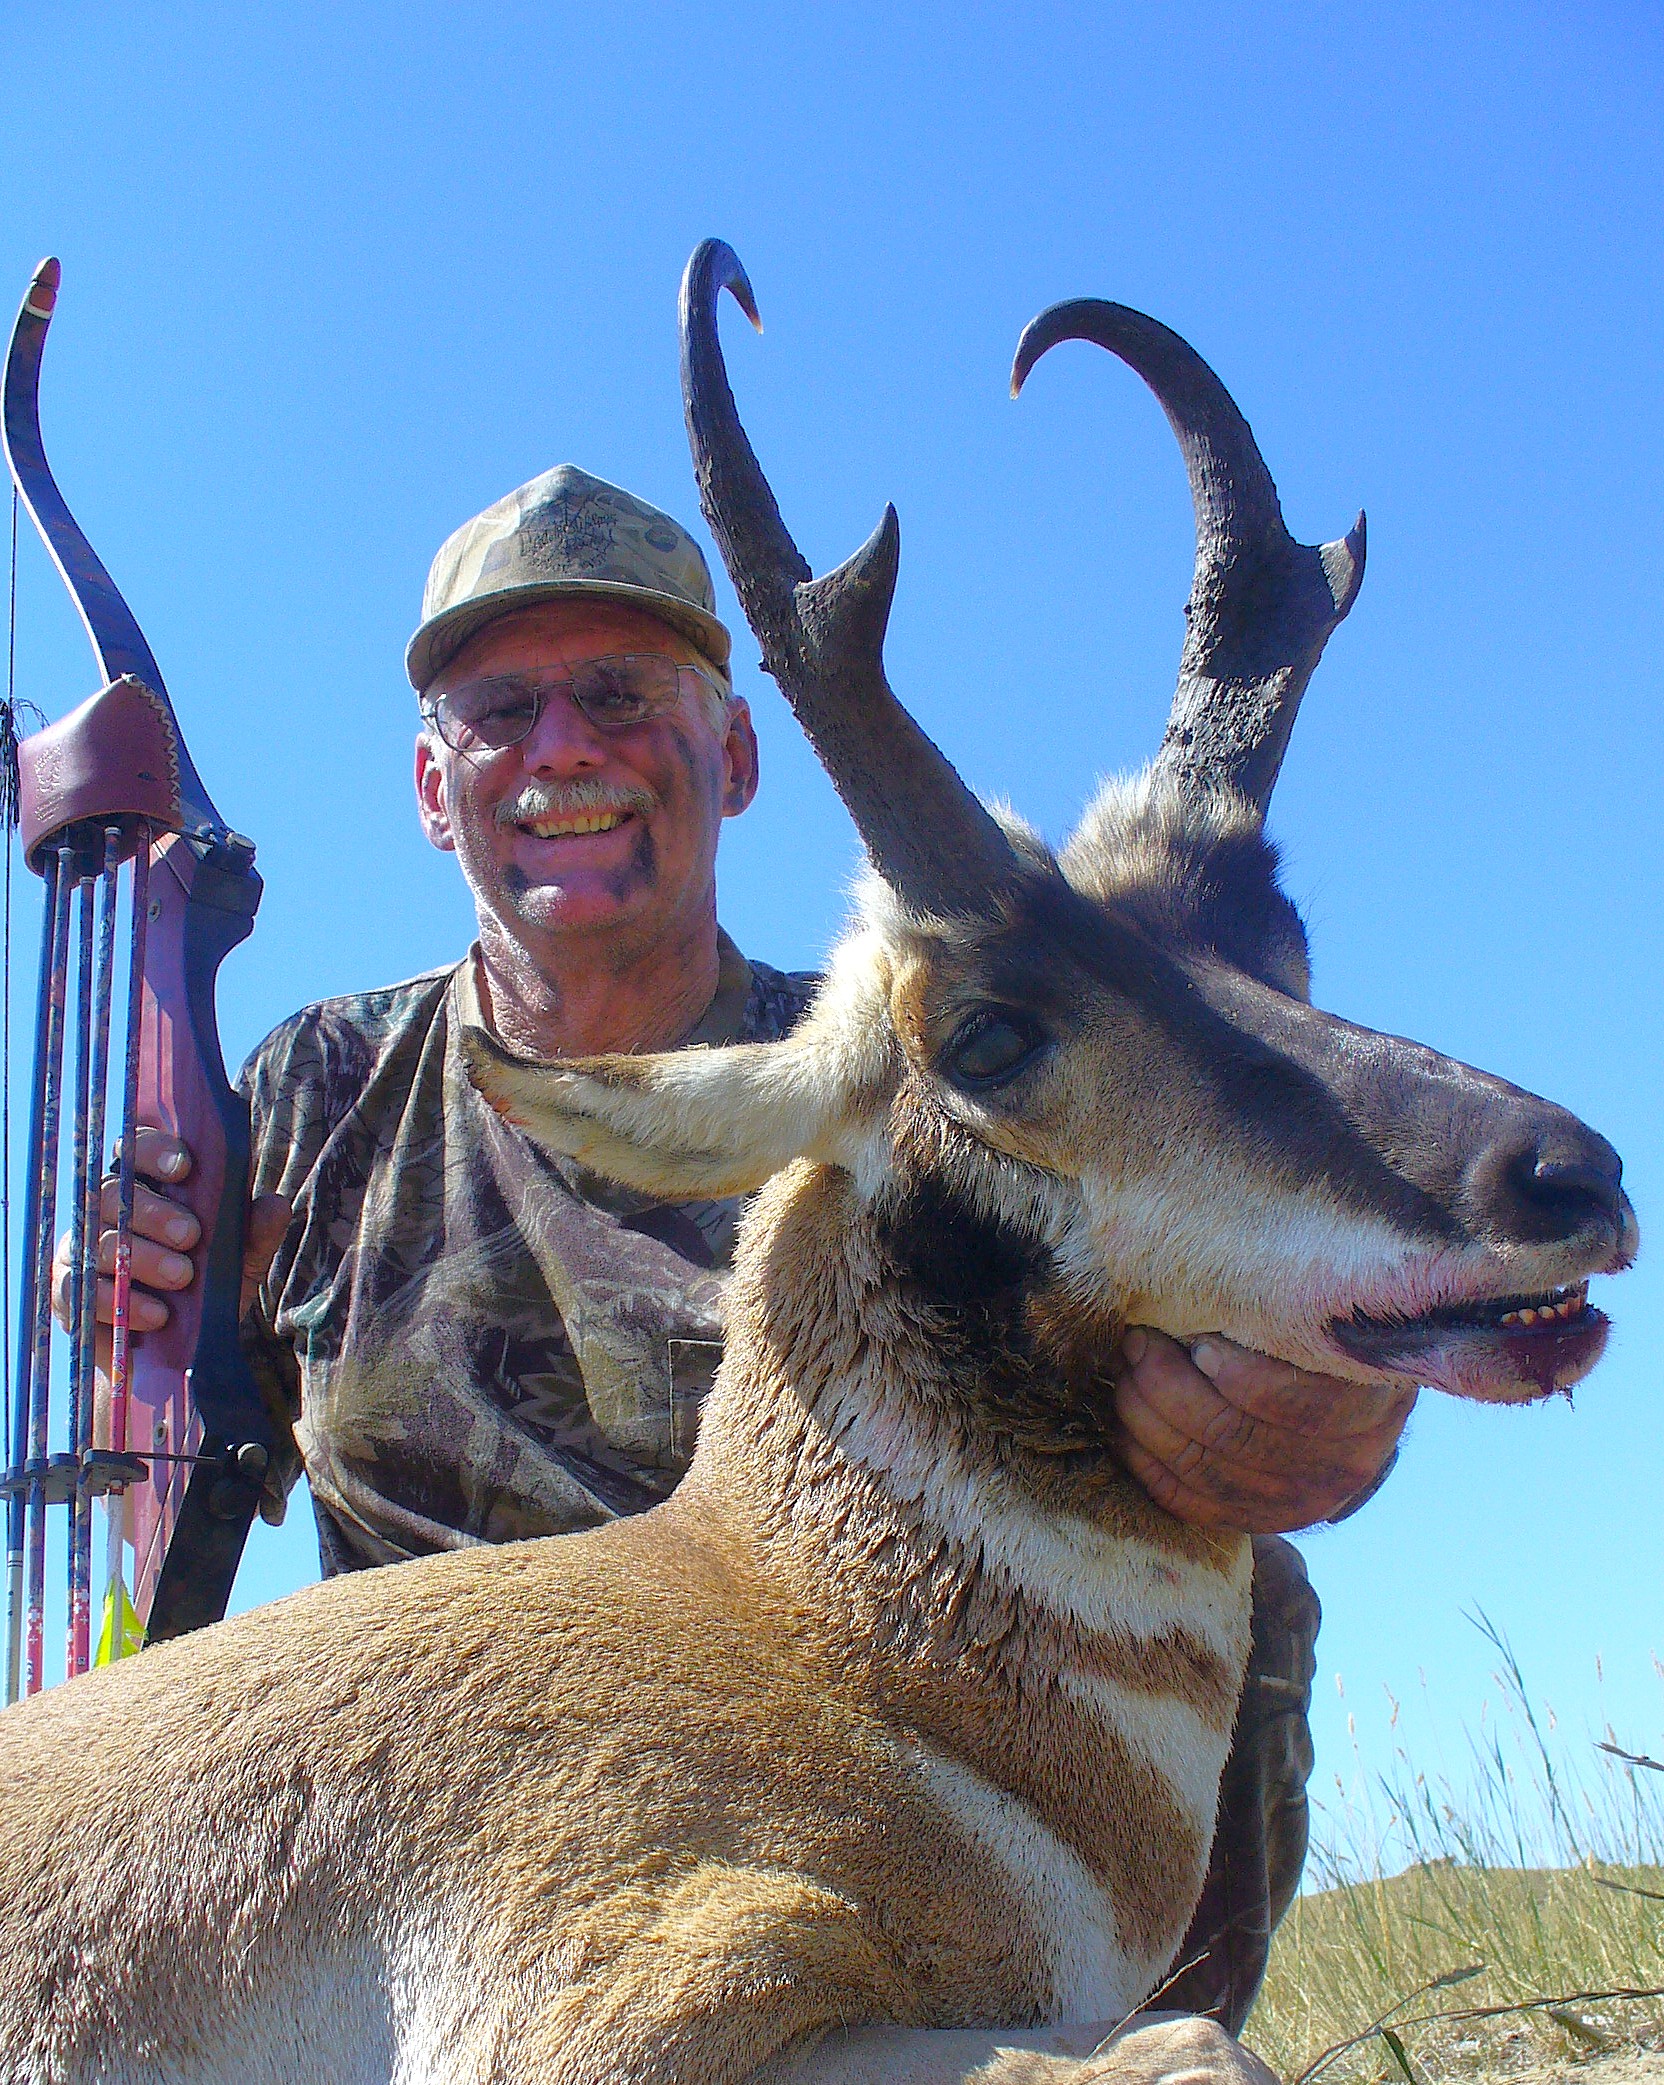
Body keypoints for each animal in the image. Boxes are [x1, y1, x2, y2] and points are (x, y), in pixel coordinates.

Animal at [0, 242, 1635, 2085]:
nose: (1566, 1179)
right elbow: (1193, 2046)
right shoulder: (631, 2015)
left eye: (1275, 938)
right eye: (984, 1032)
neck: (791, 1627)